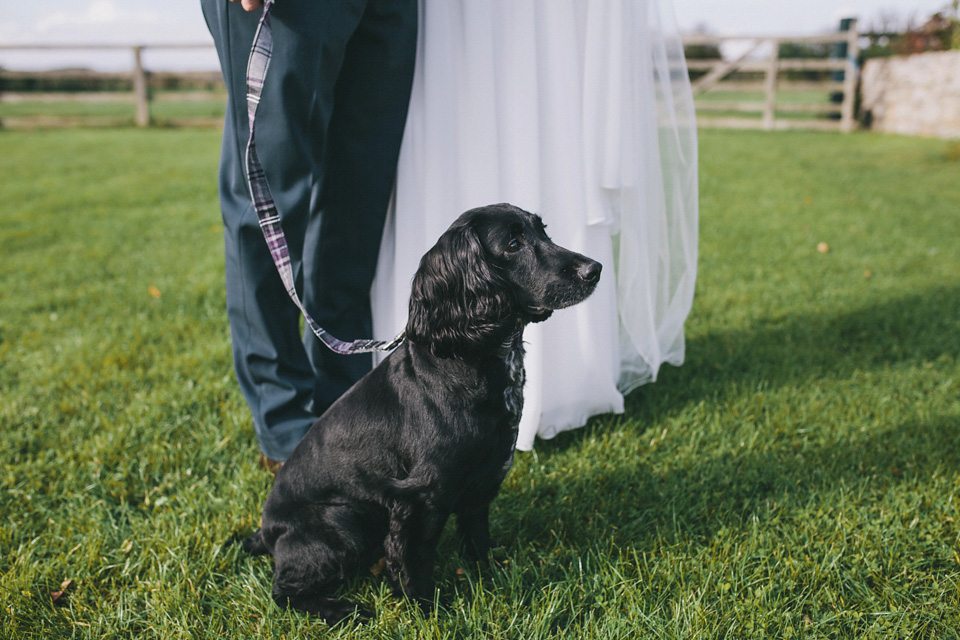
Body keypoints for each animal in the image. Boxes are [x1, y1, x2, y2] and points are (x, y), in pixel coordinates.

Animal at [242, 202, 600, 624]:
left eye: (543, 231)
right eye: (513, 245)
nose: (594, 268)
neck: (471, 360)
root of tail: (267, 533)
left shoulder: (483, 479)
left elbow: (477, 535)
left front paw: (491, 573)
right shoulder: (418, 496)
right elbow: (413, 558)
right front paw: (427, 610)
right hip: (341, 523)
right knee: (284, 591)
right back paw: (344, 609)